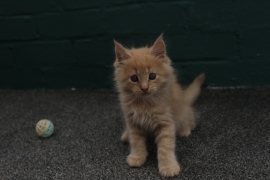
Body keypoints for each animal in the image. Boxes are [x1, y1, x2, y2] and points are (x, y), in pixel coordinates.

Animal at [113, 34, 205, 176]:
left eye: (152, 76)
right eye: (134, 78)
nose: (144, 88)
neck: (144, 103)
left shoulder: (166, 122)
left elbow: (165, 147)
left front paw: (168, 166)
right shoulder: (132, 121)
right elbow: (136, 141)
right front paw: (137, 156)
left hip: (183, 112)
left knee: (190, 118)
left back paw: (185, 129)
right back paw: (125, 135)